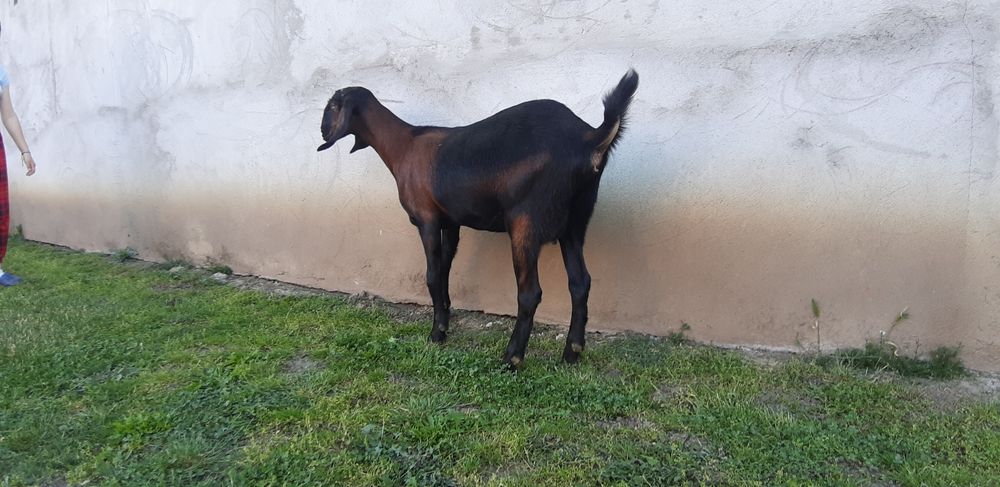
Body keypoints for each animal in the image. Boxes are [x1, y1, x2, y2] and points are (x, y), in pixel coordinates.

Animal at [317, 70, 638, 369]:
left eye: (332, 105)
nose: (322, 132)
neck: (404, 145)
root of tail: (589, 139)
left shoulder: (427, 220)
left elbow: (432, 274)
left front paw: (436, 334)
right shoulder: (451, 221)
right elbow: (445, 269)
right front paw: (445, 319)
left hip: (525, 222)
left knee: (530, 293)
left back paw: (512, 358)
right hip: (575, 222)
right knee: (580, 283)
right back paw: (572, 353)